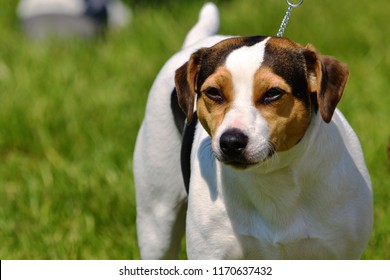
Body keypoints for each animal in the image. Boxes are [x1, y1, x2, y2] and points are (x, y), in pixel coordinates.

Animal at [133, 2, 374, 260]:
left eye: (273, 93)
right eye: (213, 92)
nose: (231, 142)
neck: (272, 176)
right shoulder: (210, 254)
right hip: (157, 223)